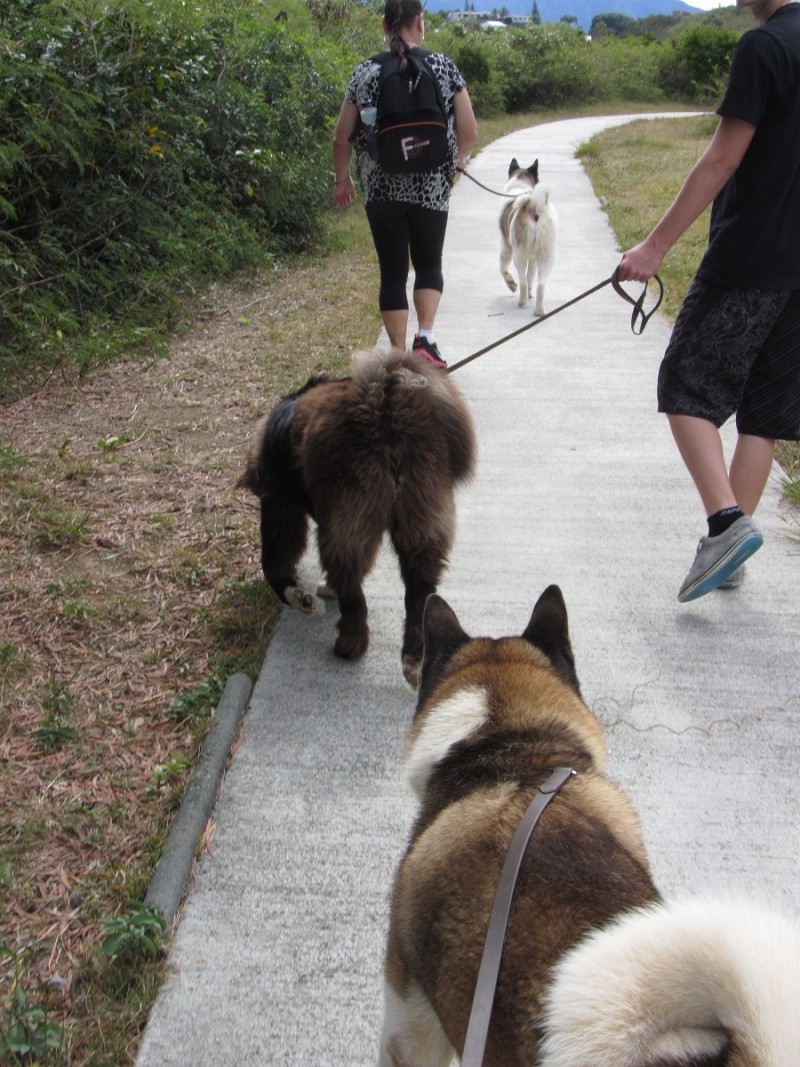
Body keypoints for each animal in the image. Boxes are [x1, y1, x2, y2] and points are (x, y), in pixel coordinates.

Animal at [237, 345, 475, 687]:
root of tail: (386, 403)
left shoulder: (281, 504)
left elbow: (275, 562)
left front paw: (298, 595)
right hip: (421, 515)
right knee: (418, 592)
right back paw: (414, 658)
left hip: (349, 512)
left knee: (351, 587)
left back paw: (350, 643)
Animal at [501, 157, 558, 313]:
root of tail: (534, 207)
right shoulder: (533, 257)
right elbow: (531, 275)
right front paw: (530, 294)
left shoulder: (506, 246)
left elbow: (503, 269)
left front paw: (511, 284)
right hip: (546, 255)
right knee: (540, 285)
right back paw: (539, 310)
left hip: (519, 254)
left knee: (523, 281)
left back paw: (522, 301)